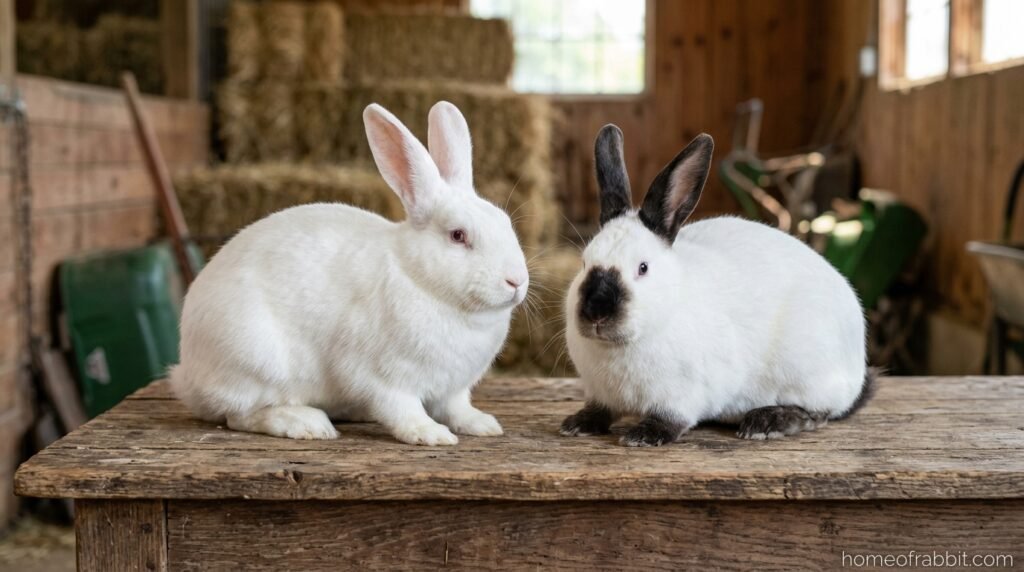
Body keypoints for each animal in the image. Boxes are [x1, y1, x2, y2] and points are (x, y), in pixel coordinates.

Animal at [169, 101, 529, 445]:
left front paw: (483, 425)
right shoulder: (381, 376)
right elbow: (402, 408)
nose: (516, 281)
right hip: (255, 361)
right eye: (458, 235)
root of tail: (187, 374)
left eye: (505, 222)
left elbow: (456, 408)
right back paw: (307, 424)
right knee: (240, 415)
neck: (419, 279)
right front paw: (429, 434)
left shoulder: (453, 387)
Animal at [559, 125, 874, 447]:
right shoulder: (600, 393)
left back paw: (767, 422)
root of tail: (857, 366)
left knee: (820, 413)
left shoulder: (682, 394)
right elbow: (600, 409)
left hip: (808, 370)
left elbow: (671, 418)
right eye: (584, 263)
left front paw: (644, 435)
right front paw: (578, 423)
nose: (597, 312)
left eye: (643, 268)